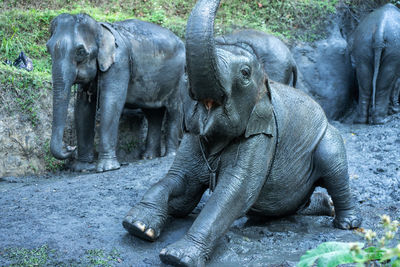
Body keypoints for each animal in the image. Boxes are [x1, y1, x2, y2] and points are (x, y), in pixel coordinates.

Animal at [47, 13, 186, 173]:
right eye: (48, 49)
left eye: (80, 52)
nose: (69, 147)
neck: (100, 29)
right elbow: (83, 108)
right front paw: (82, 168)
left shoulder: (119, 63)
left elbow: (111, 103)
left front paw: (106, 168)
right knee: (153, 114)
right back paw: (149, 157)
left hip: (178, 77)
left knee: (174, 110)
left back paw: (170, 155)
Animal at [121, 0, 360, 266]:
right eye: (185, 71)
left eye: (245, 73)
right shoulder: (193, 134)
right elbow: (182, 185)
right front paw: (138, 226)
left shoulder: (262, 136)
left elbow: (234, 193)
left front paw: (177, 257)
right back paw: (325, 205)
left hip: (328, 137)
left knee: (335, 168)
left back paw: (347, 223)